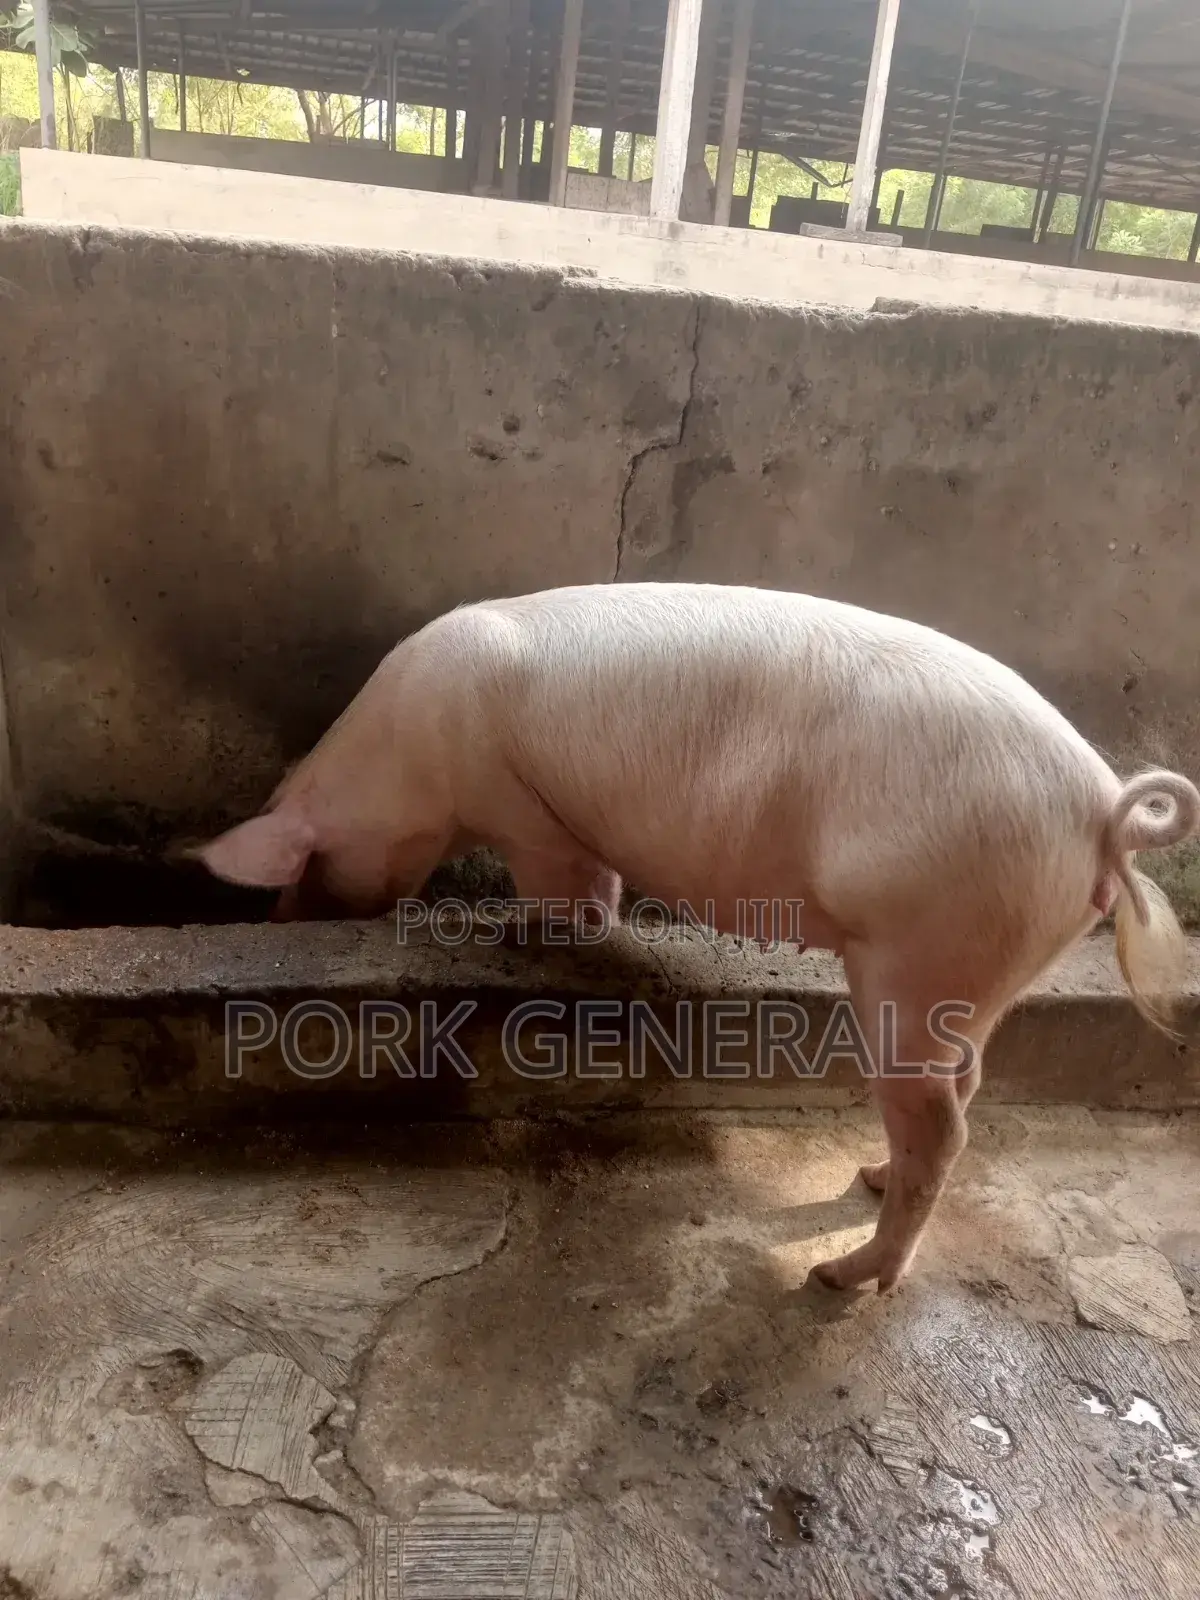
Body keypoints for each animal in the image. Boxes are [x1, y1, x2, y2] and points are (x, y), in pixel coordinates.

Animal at [193, 583, 1199, 1293]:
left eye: (301, 870)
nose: (270, 924)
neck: (404, 758)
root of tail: (1102, 809)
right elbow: (601, 891)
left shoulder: (521, 812)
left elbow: (568, 896)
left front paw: (519, 926)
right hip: (987, 966)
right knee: (969, 1082)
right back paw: (871, 1178)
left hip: (920, 955)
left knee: (941, 1126)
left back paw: (839, 1277)